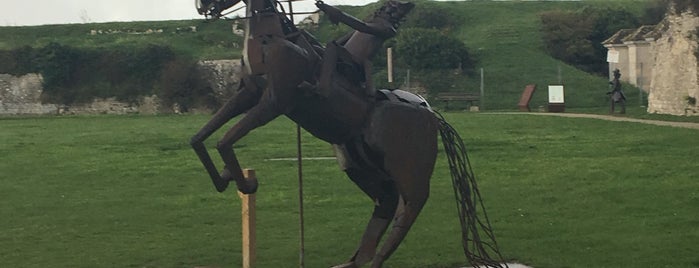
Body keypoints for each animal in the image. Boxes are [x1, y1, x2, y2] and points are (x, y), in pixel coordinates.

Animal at [189, 1, 506, 266]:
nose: (203, 7)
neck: (272, 39)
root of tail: (433, 117)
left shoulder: (274, 102)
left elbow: (224, 140)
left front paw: (245, 183)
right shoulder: (248, 95)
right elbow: (200, 138)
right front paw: (225, 178)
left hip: (409, 172)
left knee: (408, 210)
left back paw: (374, 259)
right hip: (362, 168)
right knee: (385, 205)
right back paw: (355, 261)